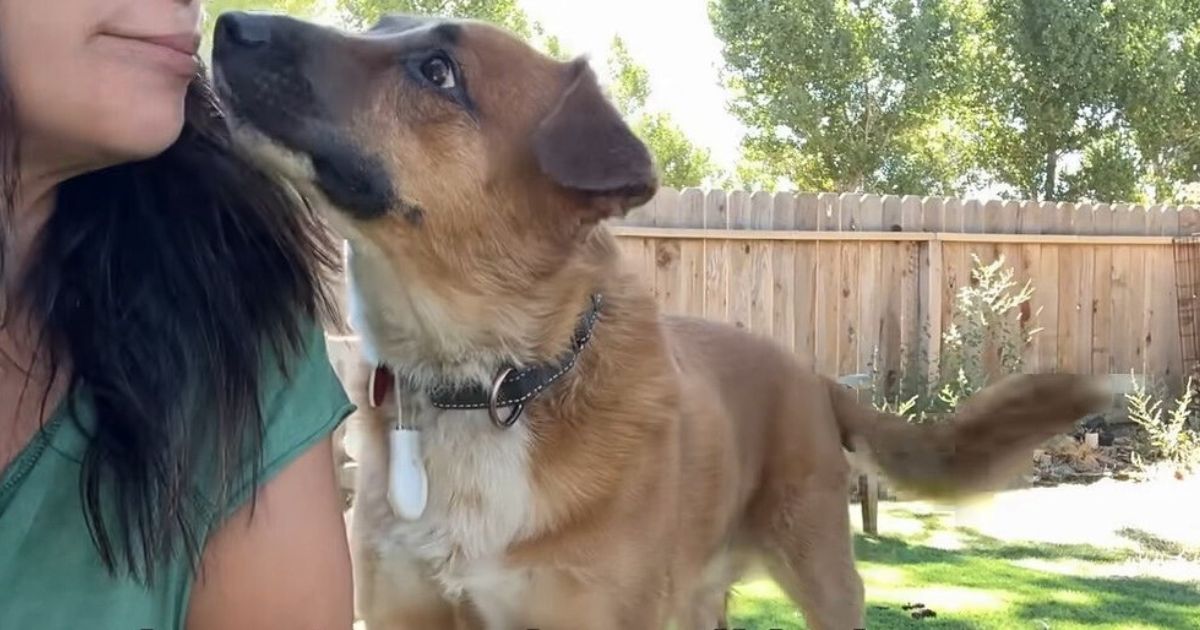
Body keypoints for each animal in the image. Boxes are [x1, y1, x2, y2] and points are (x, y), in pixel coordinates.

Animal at [211, 12, 1108, 624]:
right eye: (379, 26)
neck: (491, 383)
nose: (230, 24)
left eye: (437, 71)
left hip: (823, 574)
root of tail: (812, 376)